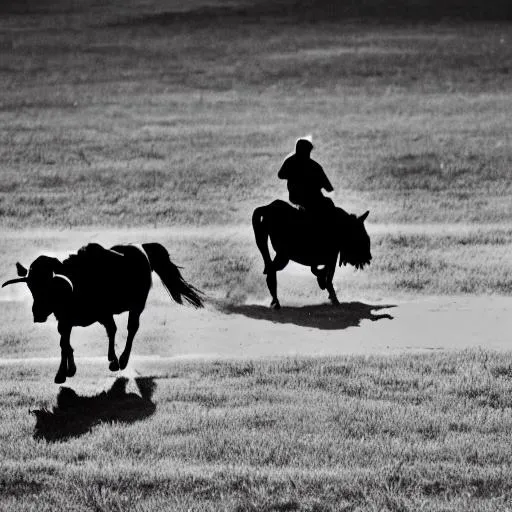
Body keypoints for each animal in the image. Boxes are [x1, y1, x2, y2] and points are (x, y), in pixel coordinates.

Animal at [4, 242, 204, 382]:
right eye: (31, 286)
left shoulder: (104, 314)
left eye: (49, 285)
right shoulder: (64, 322)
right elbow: (65, 345)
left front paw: (113, 361)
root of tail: (140, 248)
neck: (74, 284)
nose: (38, 314)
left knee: (131, 329)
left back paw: (121, 361)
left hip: (137, 306)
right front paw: (65, 372)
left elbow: (111, 331)